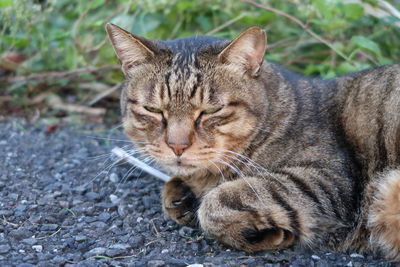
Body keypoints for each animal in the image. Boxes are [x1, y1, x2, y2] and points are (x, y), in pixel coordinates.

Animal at [106, 23, 400, 262]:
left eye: (211, 110)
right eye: (153, 110)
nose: (177, 145)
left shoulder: (327, 181)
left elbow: (217, 202)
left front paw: (266, 235)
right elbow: (174, 190)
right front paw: (183, 197)